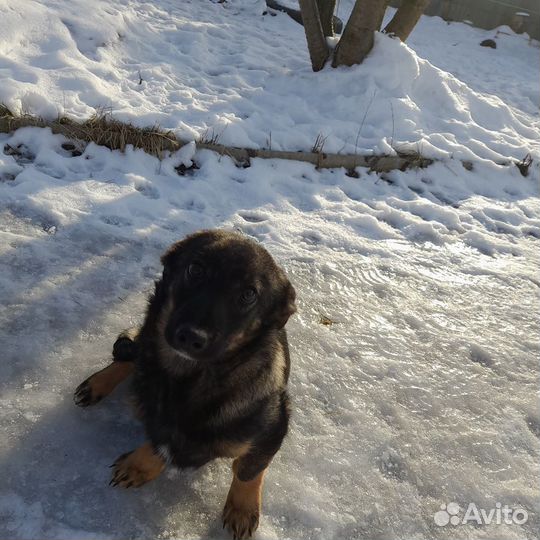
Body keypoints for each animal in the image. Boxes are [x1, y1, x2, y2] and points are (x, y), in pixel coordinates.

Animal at [74, 229, 296, 540]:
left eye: (249, 294)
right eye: (195, 269)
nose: (191, 337)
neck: (189, 381)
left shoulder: (274, 429)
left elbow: (249, 470)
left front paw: (242, 509)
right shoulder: (156, 419)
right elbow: (159, 441)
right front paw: (141, 465)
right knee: (132, 353)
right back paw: (97, 384)